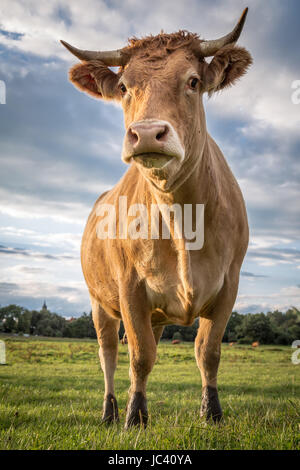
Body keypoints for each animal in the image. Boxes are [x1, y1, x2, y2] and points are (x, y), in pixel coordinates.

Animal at [62, 7, 252, 428]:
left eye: (193, 81)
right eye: (123, 87)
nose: (147, 133)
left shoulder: (228, 285)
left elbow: (208, 351)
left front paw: (211, 412)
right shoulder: (129, 287)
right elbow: (139, 356)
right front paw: (135, 415)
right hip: (99, 302)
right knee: (109, 355)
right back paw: (110, 411)